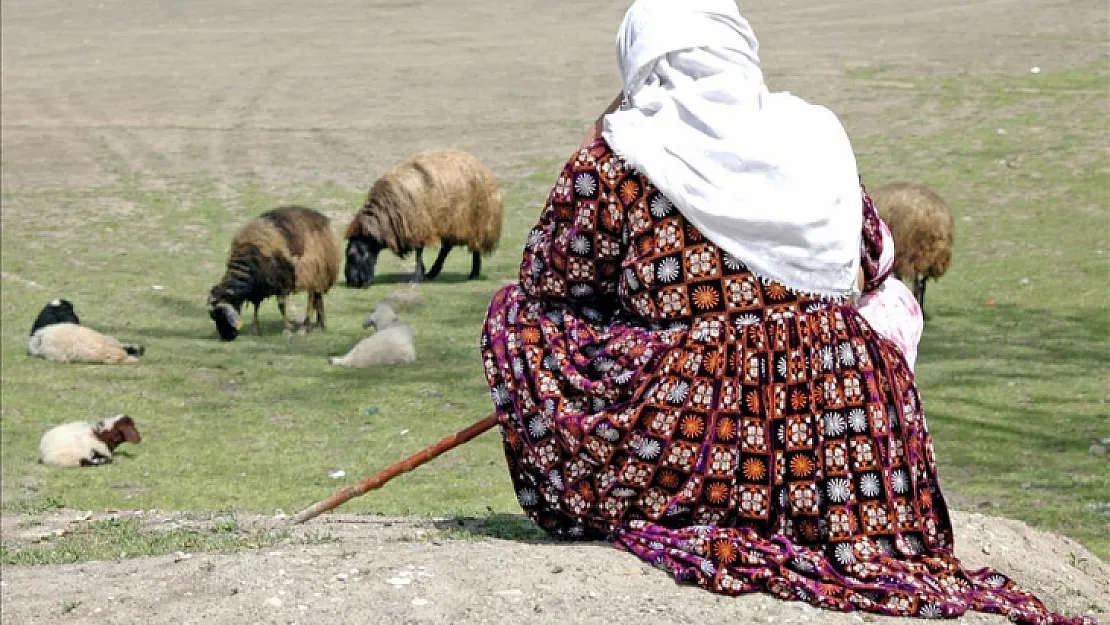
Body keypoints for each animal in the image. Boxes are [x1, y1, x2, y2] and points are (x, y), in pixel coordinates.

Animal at [206, 206, 339, 341]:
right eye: (213, 317)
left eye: (221, 315)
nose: (226, 338)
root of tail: (323, 220)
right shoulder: (259, 286)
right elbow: (256, 306)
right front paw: (256, 330)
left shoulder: (281, 282)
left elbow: (281, 306)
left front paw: (287, 329)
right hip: (319, 276)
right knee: (318, 298)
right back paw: (320, 325)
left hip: (311, 274)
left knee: (311, 300)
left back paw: (304, 327)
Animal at [344, 148, 506, 288]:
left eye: (351, 255)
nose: (351, 283)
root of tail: (482, 168)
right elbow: (420, 251)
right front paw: (421, 273)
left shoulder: (417, 224)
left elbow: (418, 251)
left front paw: (416, 276)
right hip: (451, 222)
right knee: (447, 247)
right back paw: (433, 272)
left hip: (478, 220)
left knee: (474, 246)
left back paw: (473, 273)